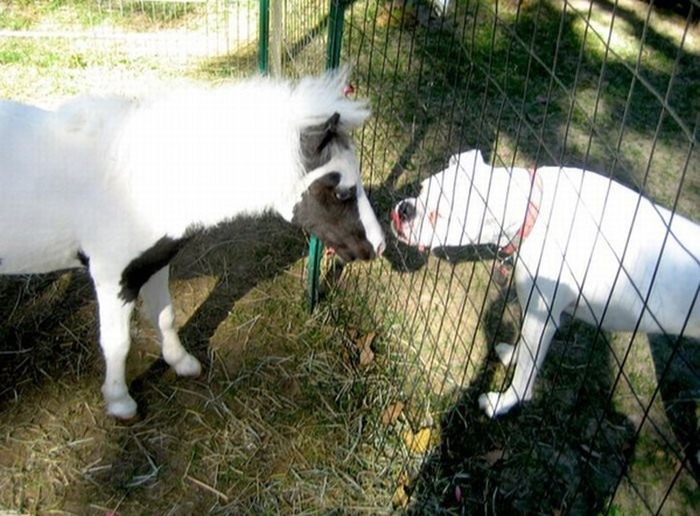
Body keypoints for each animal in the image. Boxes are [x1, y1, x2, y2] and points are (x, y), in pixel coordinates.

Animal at [0, 70, 388, 420]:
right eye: (342, 191)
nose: (380, 245)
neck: (136, 181)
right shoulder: (113, 277)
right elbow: (117, 342)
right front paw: (120, 403)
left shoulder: (154, 264)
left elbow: (165, 316)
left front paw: (182, 363)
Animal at [392, 149, 700, 420]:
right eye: (421, 188)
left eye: (439, 215)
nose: (404, 210)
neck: (533, 213)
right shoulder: (534, 311)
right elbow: (525, 349)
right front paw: (511, 354)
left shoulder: (543, 318)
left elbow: (525, 375)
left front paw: (502, 403)